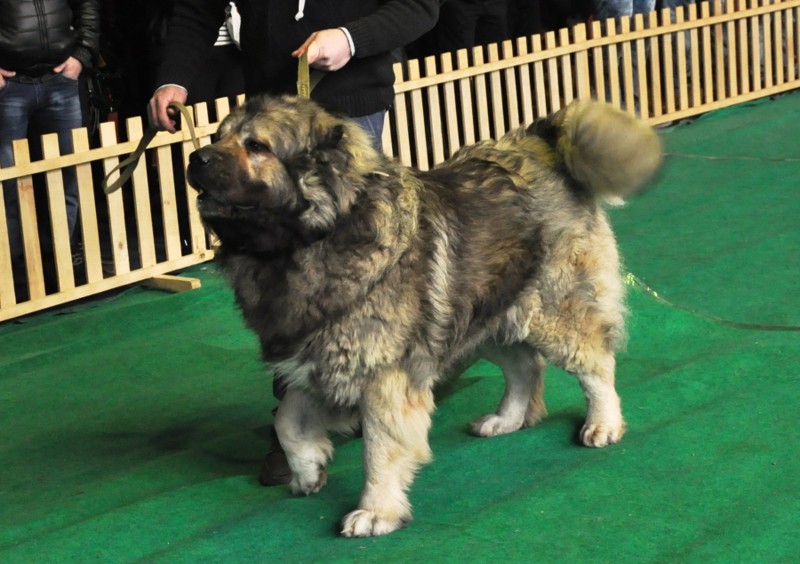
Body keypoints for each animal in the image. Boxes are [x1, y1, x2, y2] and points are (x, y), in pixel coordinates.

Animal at [188, 96, 664, 536]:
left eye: (256, 145)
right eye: (218, 136)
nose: (196, 158)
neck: (314, 240)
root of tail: (538, 140)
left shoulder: (381, 374)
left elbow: (379, 449)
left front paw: (376, 511)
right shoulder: (318, 360)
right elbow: (286, 420)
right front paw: (308, 468)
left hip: (551, 310)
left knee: (595, 363)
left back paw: (603, 424)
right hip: (482, 314)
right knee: (525, 366)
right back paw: (506, 420)